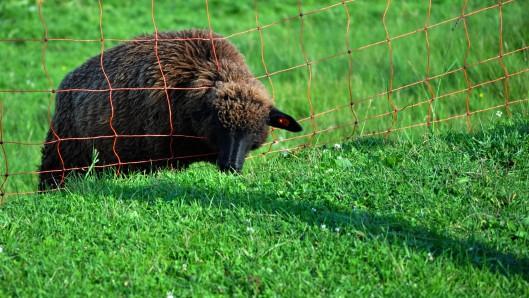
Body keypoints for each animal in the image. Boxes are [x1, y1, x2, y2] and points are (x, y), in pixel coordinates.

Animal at [37, 29, 302, 190]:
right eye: (218, 124)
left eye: (255, 130)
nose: (231, 167)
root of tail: (67, 81)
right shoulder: (165, 157)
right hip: (61, 155)